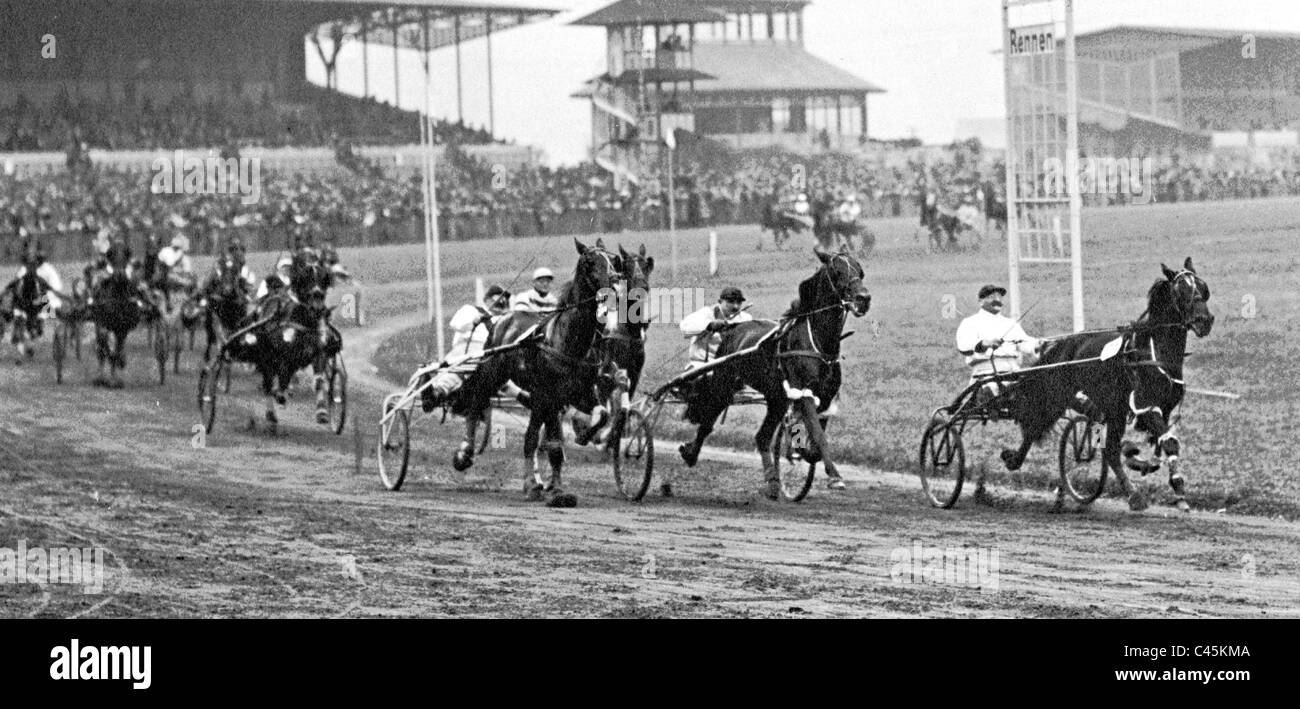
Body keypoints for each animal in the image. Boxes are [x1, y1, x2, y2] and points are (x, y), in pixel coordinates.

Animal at [89, 239, 146, 387]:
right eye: (110, 253)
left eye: (127, 252)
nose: (119, 274)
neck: (118, 296)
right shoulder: (102, 322)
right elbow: (104, 343)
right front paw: (104, 377)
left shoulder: (122, 328)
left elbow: (118, 348)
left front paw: (116, 376)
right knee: (101, 347)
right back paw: (101, 376)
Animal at [454, 238, 621, 502]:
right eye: (590, 261)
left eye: (613, 260)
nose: (615, 282)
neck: (568, 341)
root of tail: (501, 319)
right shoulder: (550, 396)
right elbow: (549, 445)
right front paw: (553, 490)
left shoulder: (579, 393)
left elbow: (601, 413)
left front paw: (584, 435)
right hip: (494, 375)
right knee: (476, 403)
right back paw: (464, 454)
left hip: (538, 399)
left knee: (531, 436)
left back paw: (534, 483)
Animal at [670, 248, 873, 496]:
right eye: (837, 271)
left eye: (860, 270)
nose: (863, 298)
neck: (817, 342)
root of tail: (734, 328)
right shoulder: (803, 392)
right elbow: (817, 434)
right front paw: (833, 475)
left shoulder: (825, 397)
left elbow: (815, 440)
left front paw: (801, 453)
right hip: (723, 384)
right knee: (708, 420)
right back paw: (690, 453)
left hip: (776, 399)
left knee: (762, 437)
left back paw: (773, 480)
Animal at [998, 257, 1211, 512]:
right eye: (1181, 291)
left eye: (1203, 287)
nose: (1204, 321)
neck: (1154, 352)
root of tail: (1065, 343)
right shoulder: (1145, 405)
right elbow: (1168, 442)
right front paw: (1178, 486)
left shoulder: (1163, 408)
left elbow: (1160, 445)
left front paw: (1141, 460)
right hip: (1058, 397)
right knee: (1035, 427)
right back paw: (1015, 460)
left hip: (1113, 409)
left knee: (1109, 450)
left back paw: (1131, 492)